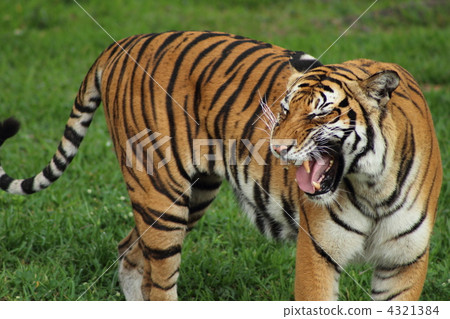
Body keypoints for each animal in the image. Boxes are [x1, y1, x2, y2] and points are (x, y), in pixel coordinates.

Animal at [0, 30, 442, 302]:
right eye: (284, 109)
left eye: (320, 114)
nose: (277, 148)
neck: (371, 185)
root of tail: (124, 40)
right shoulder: (319, 254)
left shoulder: (404, 262)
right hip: (159, 193)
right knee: (159, 280)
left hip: (192, 194)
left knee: (129, 253)